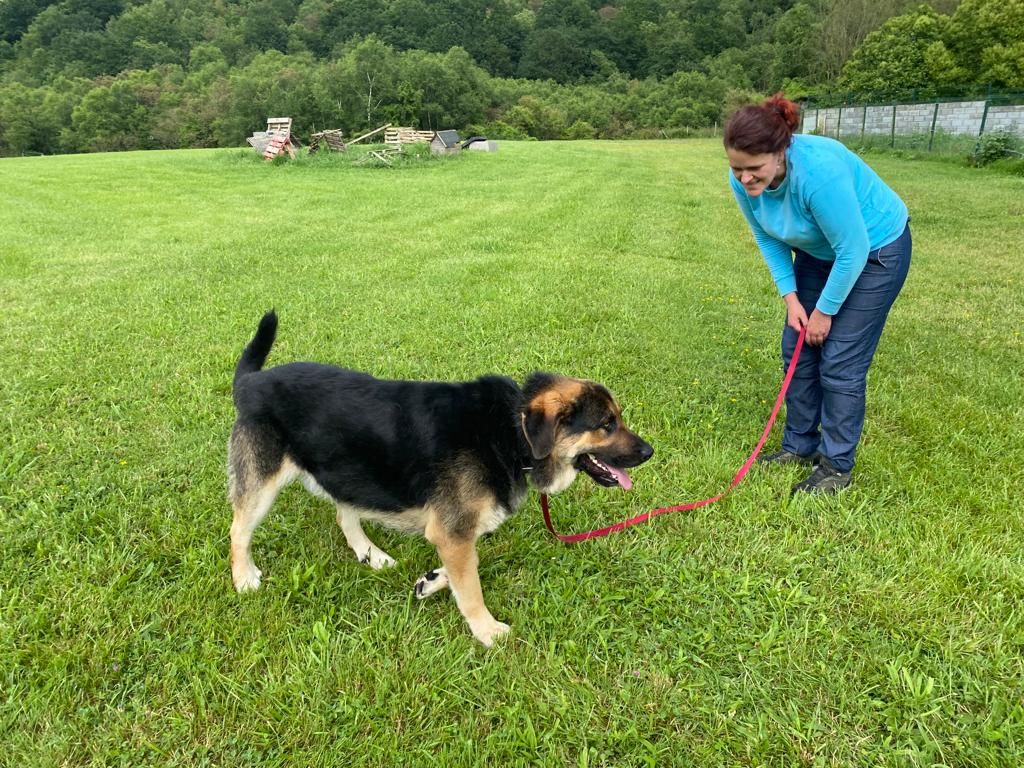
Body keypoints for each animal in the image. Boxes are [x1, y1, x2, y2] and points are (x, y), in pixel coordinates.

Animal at [228, 313, 651, 651]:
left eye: (617, 418)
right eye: (607, 424)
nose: (650, 451)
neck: (510, 432)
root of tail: (252, 381)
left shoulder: (456, 531)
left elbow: (465, 567)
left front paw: (433, 581)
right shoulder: (454, 531)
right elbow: (472, 588)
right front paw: (487, 631)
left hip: (351, 468)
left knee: (344, 515)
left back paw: (371, 554)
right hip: (263, 483)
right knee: (238, 529)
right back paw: (243, 577)